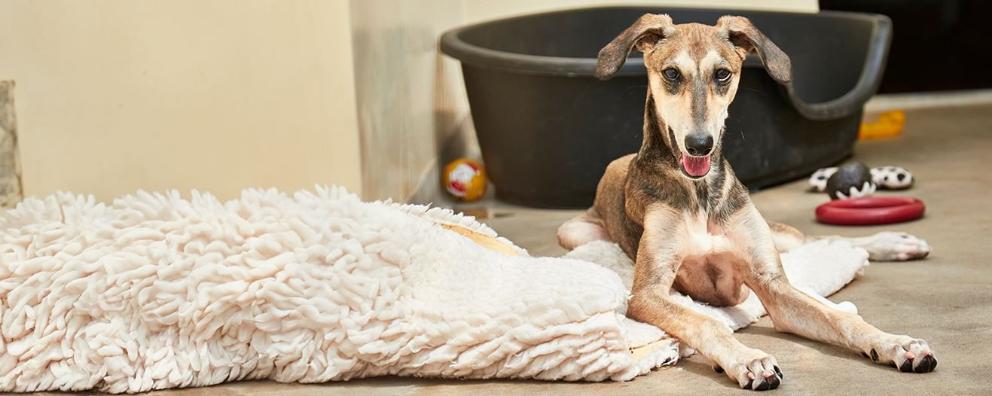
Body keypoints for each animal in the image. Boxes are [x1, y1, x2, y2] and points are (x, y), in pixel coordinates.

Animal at [560, 14, 936, 390]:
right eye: (671, 74)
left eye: (722, 74)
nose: (700, 145)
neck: (701, 194)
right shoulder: (647, 294)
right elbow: (707, 321)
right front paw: (747, 359)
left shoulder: (772, 283)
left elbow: (839, 318)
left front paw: (896, 344)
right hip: (574, 233)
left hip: (774, 234)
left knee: (823, 240)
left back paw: (895, 242)